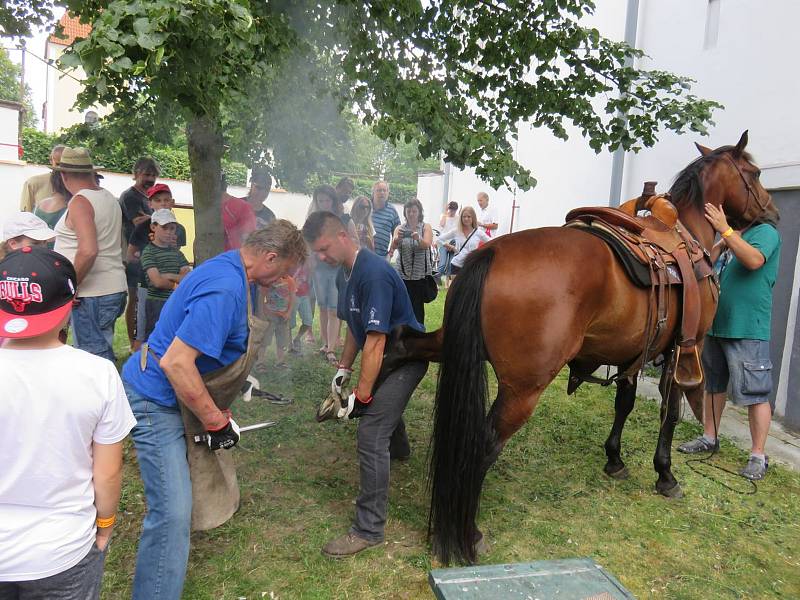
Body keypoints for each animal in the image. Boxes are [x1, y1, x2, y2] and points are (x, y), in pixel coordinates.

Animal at [384, 130, 780, 564]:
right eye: (756, 174)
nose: (773, 213)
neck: (687, 241)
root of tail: (491, 252)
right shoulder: (681, 350)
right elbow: (671, 414)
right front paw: (665, 474)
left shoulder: (634, 352)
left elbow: (624, 403)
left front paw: (615, 458)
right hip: (524, 388)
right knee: (483, 444)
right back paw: (468, 533)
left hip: (450, 342)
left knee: (401, 344)